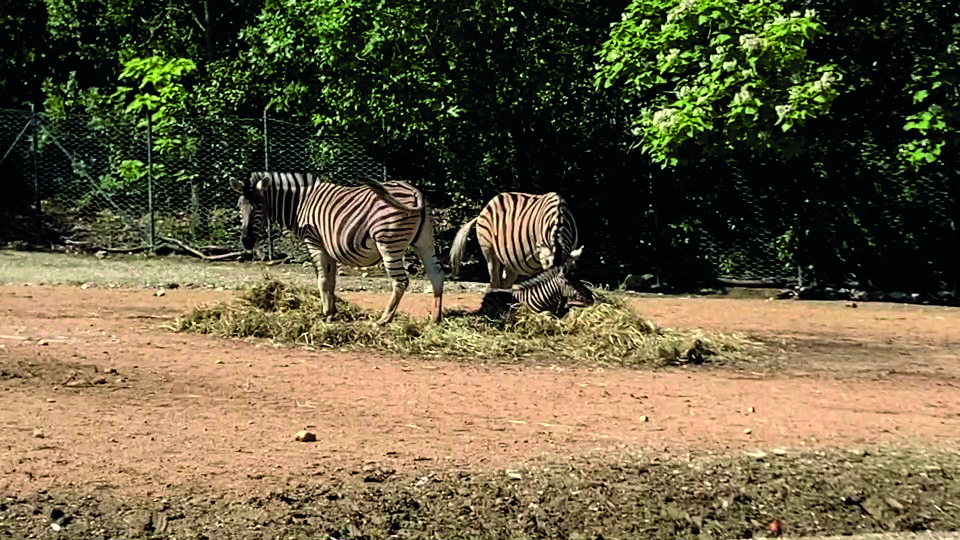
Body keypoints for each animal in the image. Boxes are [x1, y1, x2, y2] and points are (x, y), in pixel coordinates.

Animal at [231, 172, 444, 324]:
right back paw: (435, 318)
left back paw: (383, 320)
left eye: (259, 207)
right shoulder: (329, 247)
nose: (246, 242)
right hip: (424, 240)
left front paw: (325, 314)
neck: (300, 204)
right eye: (239, 207)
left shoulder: (314, 242)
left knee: (400, 282)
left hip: (388, 242)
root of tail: (415, 191)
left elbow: (322, 280)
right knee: (436, 274)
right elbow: (331, 281)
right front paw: (333, 312)